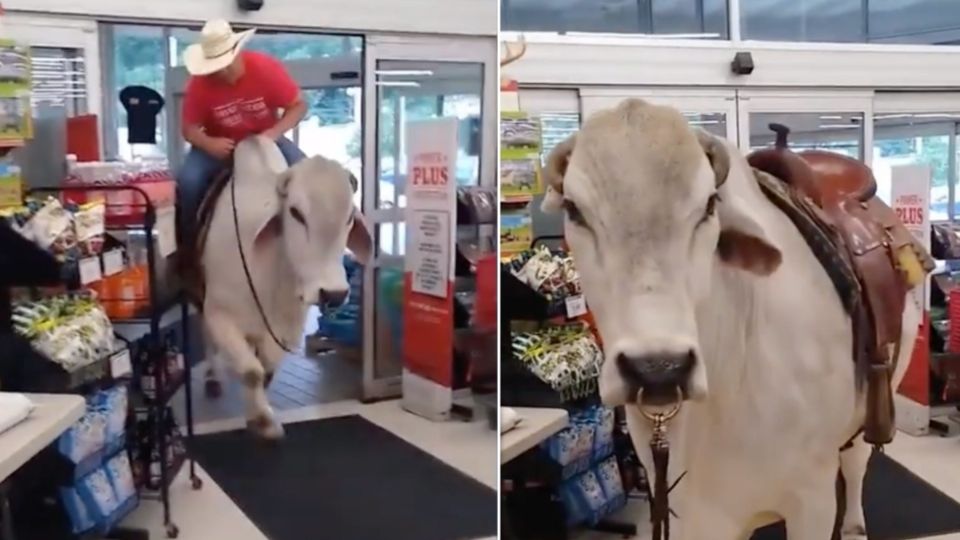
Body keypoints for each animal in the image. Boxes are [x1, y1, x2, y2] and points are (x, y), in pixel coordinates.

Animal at [201, 136, 370, 438]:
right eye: (296, 213)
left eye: (350, 215)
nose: (334, 294)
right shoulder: (219, 315)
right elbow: (251, 371)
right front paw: (262, 420)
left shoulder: (287, 330)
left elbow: (264, 370)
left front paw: (259, 414)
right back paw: (212, 377)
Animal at [544, 98, 920, 540]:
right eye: (573, 209)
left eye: (709, 205)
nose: (658, 369)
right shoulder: (684, 509)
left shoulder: (812, 499)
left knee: (857, 461)